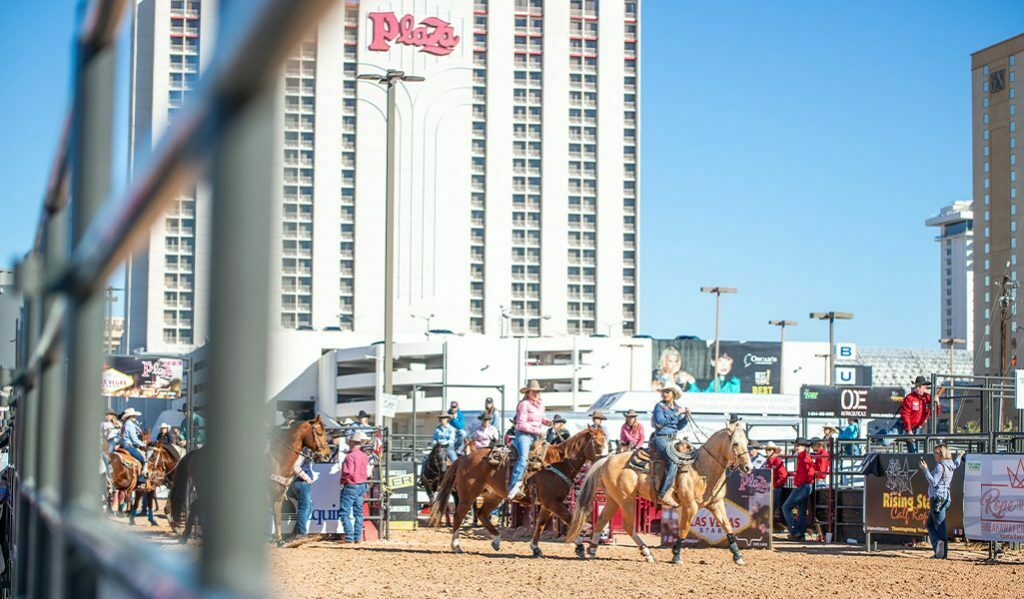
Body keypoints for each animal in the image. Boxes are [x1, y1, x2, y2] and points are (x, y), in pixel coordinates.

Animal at [426, 429, 569, 554]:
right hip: (468, 495)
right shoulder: (552, 502)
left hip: (493, 496)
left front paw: (536, 548)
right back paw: (456, 546)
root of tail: (464, 458)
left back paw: (495, 540)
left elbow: (542, 523)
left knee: (481, 514)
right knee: (458, 515)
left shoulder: (549, 503)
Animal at [525, 426, 607, 559]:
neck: (557, 464)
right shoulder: (553, 503)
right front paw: (580, 546)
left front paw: (535, 548)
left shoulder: (548, 504)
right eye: (598, 444)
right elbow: (570, 519)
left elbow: (541, 523)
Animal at [565, 420, 753, 565]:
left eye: (747, 443)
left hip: (613, 498)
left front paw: (738, 556)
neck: (701, 469)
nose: (748, 467)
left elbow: (727, 526)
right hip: (626, 499)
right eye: (735, 444)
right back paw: (647, 553)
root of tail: (607, 459)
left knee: (602, 520)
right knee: (627, 526)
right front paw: (676, 555)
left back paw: (592, 551)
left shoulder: (716, 504)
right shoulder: (690, 506)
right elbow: (683, 530)